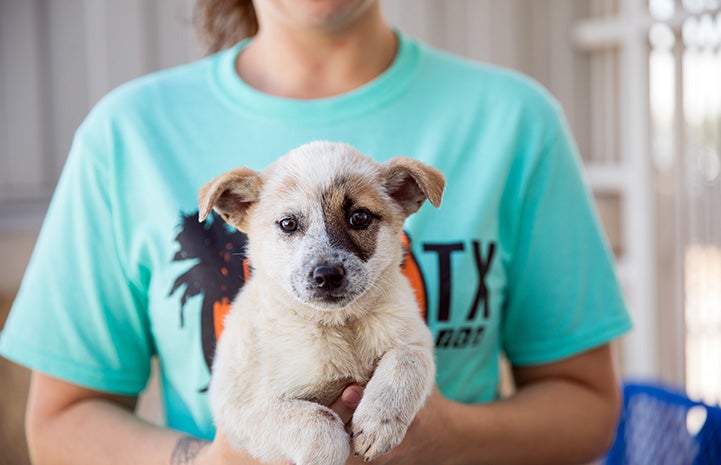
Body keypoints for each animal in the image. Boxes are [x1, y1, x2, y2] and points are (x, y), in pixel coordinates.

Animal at [198, 140, 444, 464]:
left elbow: (408, 359)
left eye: (359, 217)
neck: (340, 327)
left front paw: (378, 423)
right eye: (288, 223)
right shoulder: (241, 406)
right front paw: (328, 449)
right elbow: (316, 419)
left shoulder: (417, 339)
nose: (327, 275)